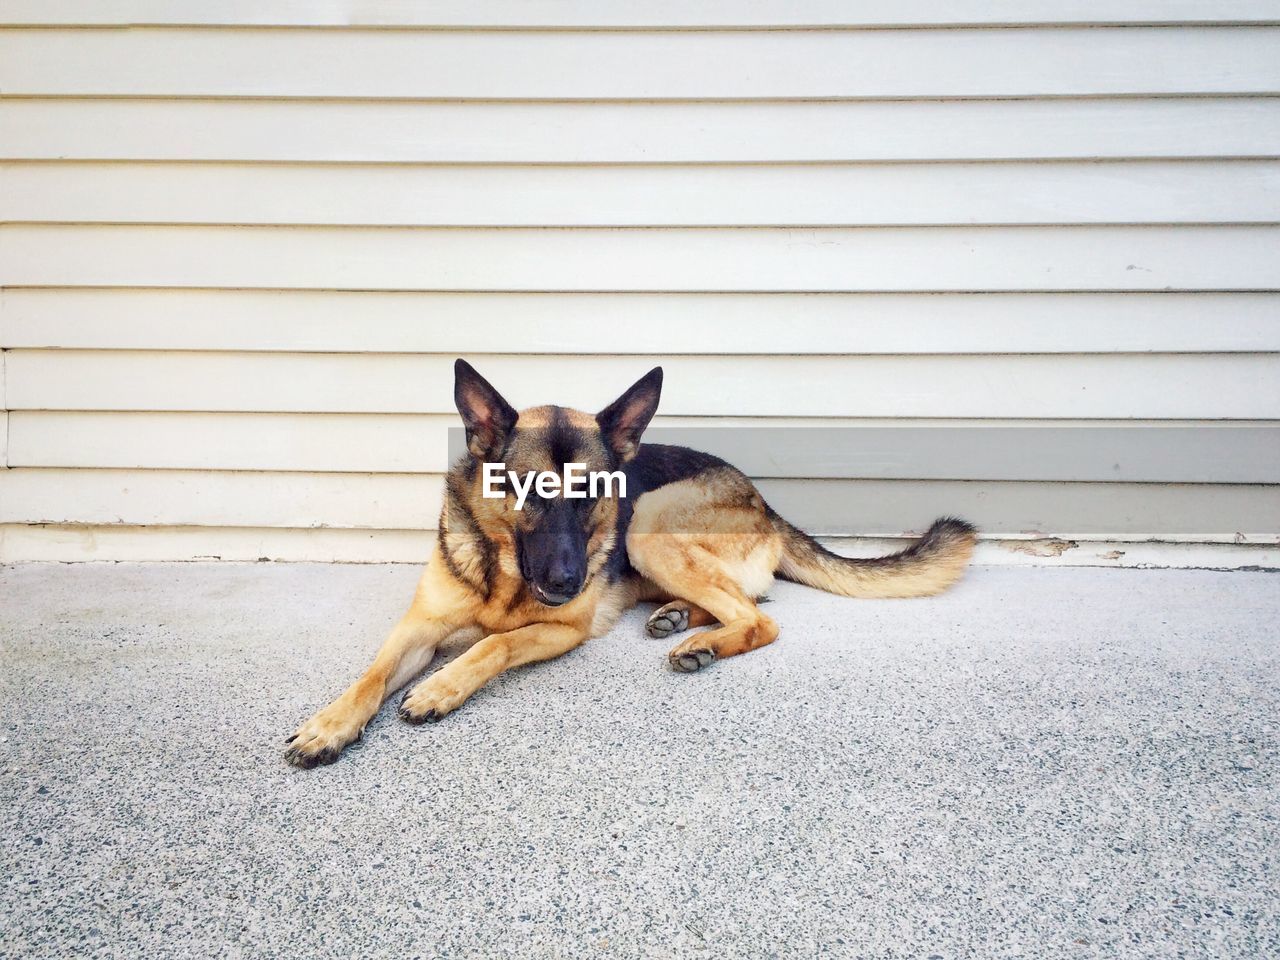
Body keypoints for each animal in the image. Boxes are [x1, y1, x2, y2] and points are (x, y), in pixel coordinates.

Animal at [285, 363, 972, 773]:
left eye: (592, 492)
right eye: (527, 489)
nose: (566, 583)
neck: (504, 573)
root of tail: (763, 499)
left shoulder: (562, 630)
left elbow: (492, 646)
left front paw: (439, 686)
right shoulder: (418, 627)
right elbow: (371, 676)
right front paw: (329, 725)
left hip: (646, 522)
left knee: (759, 616)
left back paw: (700, 642)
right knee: (745, 599)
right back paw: (679, 620)